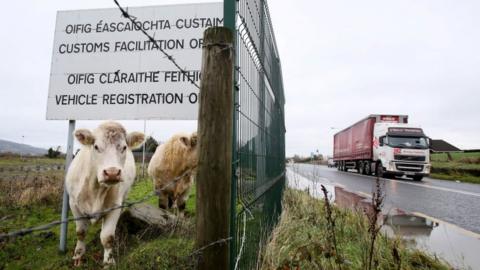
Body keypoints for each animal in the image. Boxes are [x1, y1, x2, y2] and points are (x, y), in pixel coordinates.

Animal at [66, 122, 144, 266]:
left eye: (124, 147)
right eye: (96, 146)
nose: (112, 172)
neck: (95, 189)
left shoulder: (114, 207)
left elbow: (107, 237)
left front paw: (108, 262)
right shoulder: (73, 204)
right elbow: (81, 232)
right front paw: (78, 256)